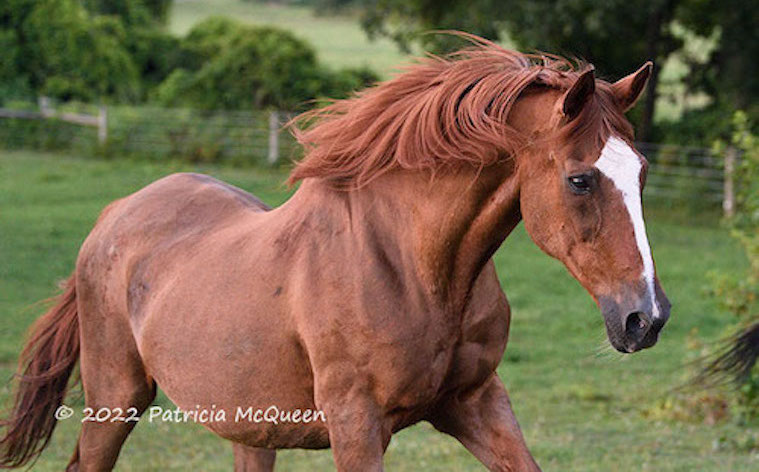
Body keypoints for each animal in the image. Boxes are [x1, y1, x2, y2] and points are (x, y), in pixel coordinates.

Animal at [4, 38, 672, 470]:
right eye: (580, 180)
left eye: (640, 172)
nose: (647, 317)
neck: (416, 269)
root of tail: (115, 213)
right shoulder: (357, 425)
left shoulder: (478, 403)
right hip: (115, 399)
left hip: (249, 426)